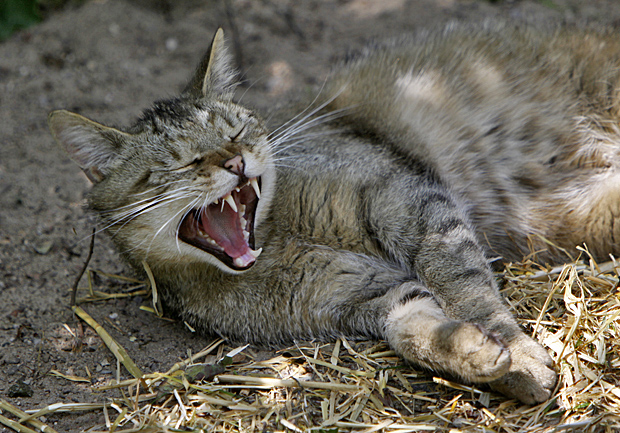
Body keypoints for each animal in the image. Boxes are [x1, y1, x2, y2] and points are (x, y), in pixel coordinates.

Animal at [47, 22, 620, 402]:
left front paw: (515, 352)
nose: (235, 160)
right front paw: (482, 357)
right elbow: (415, 331)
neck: (278, 241)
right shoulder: (370, 296)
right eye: (180, 162)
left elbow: (466, 287)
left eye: (236, 130)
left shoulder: (409, 200)